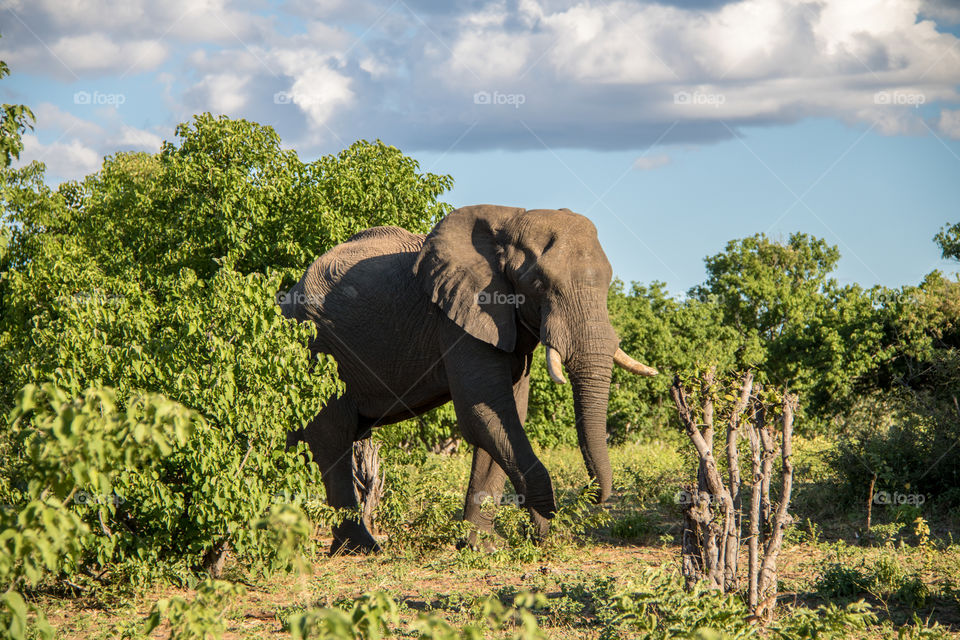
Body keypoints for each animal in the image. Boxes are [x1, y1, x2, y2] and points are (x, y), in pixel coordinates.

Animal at [274, 206, 656, 556]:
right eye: (539, 284)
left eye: (608, 282)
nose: (594, 498)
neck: (511, 219)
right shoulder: (459, 319)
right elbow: (484, 413)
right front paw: (543, 530)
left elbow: (504, 416)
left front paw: (480, 547)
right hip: (316, 351)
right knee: (333, 439)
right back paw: (362, 549)